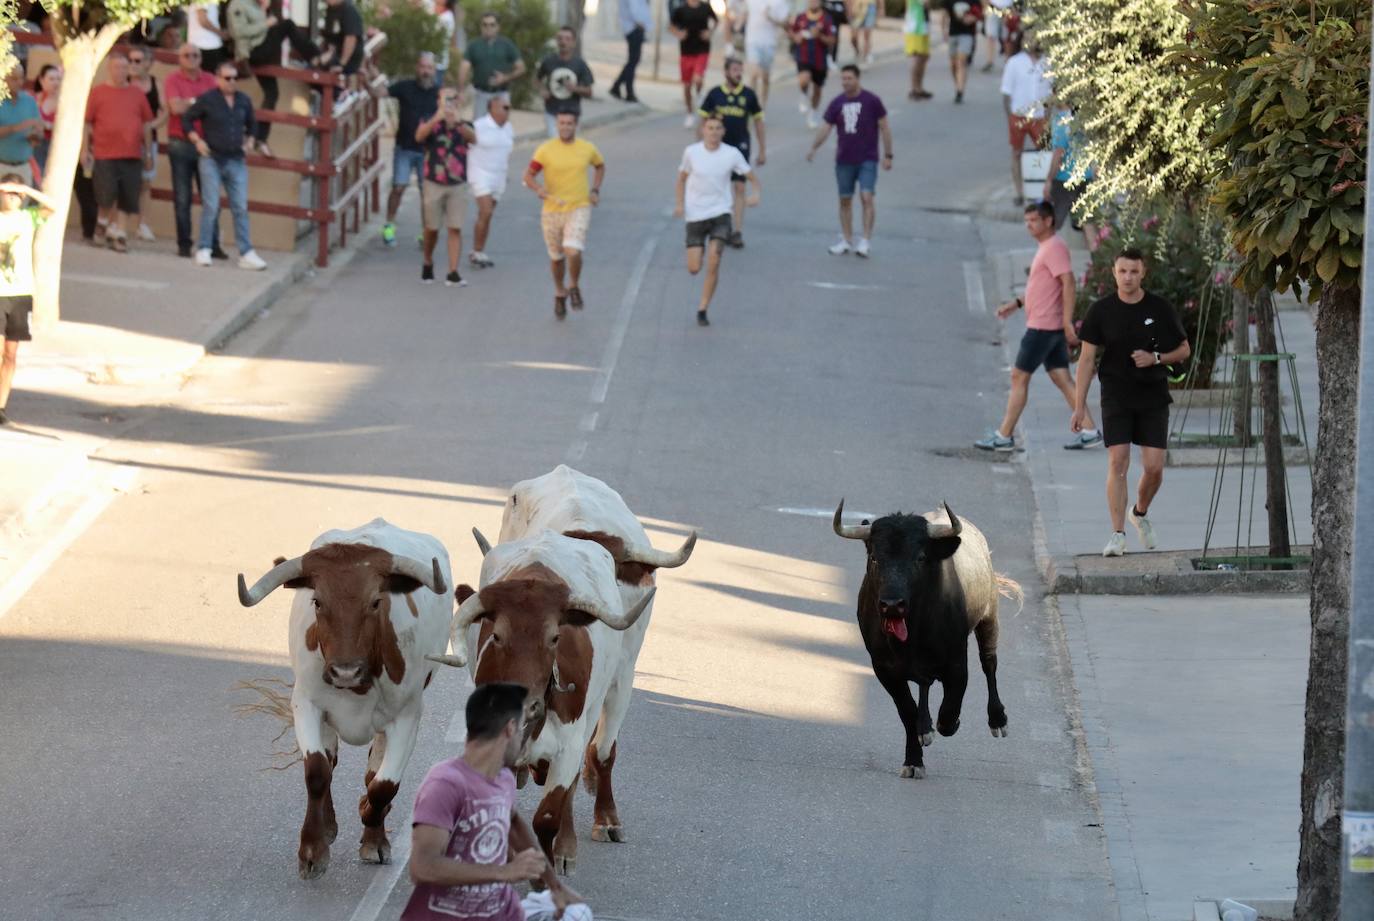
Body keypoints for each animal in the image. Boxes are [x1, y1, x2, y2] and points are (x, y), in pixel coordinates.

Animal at [824, 505, 1022, 780]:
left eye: (919, 558)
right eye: (874, 558)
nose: (892, 605)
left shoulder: (957, 662)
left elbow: (950, 708)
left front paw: (945, 725)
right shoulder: (884, 669)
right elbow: (907, 710)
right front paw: (914, 757)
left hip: (989, 617)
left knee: (989, 664)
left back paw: (997, 720)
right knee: (924, 685)